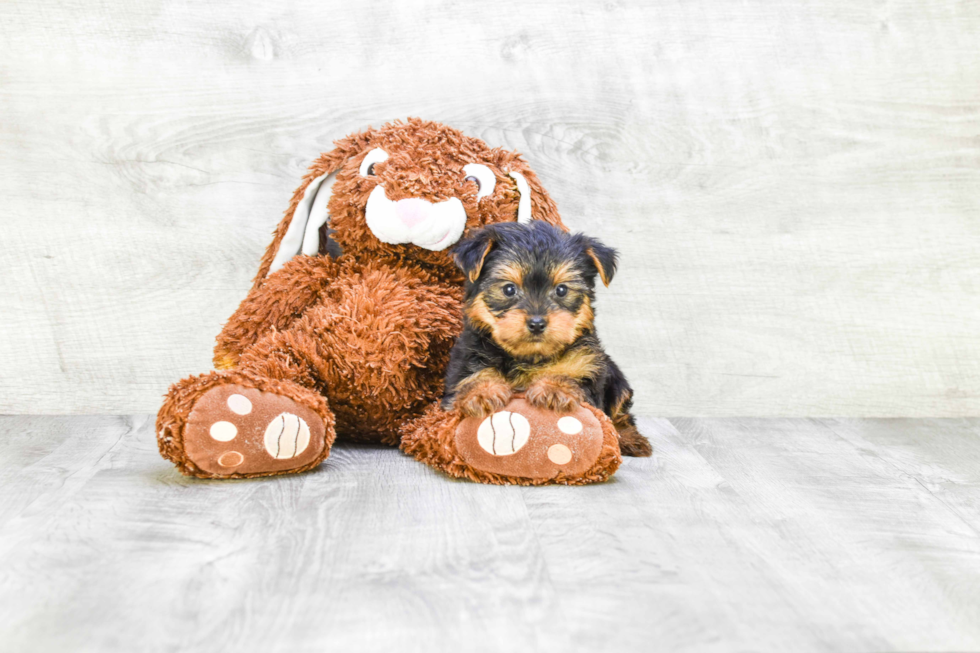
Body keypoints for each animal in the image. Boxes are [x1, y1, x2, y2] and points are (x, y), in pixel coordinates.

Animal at [444, 222, 652, 456]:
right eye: (509, 289)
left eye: (561, 290)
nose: (536, 323)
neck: (531, 357)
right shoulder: (466, 360)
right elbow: (470, 379)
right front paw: (482, 392)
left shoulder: (589, 368)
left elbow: (572, 379)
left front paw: (554, 389)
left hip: (616, 378)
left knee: (620, 412)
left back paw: (630, 438)